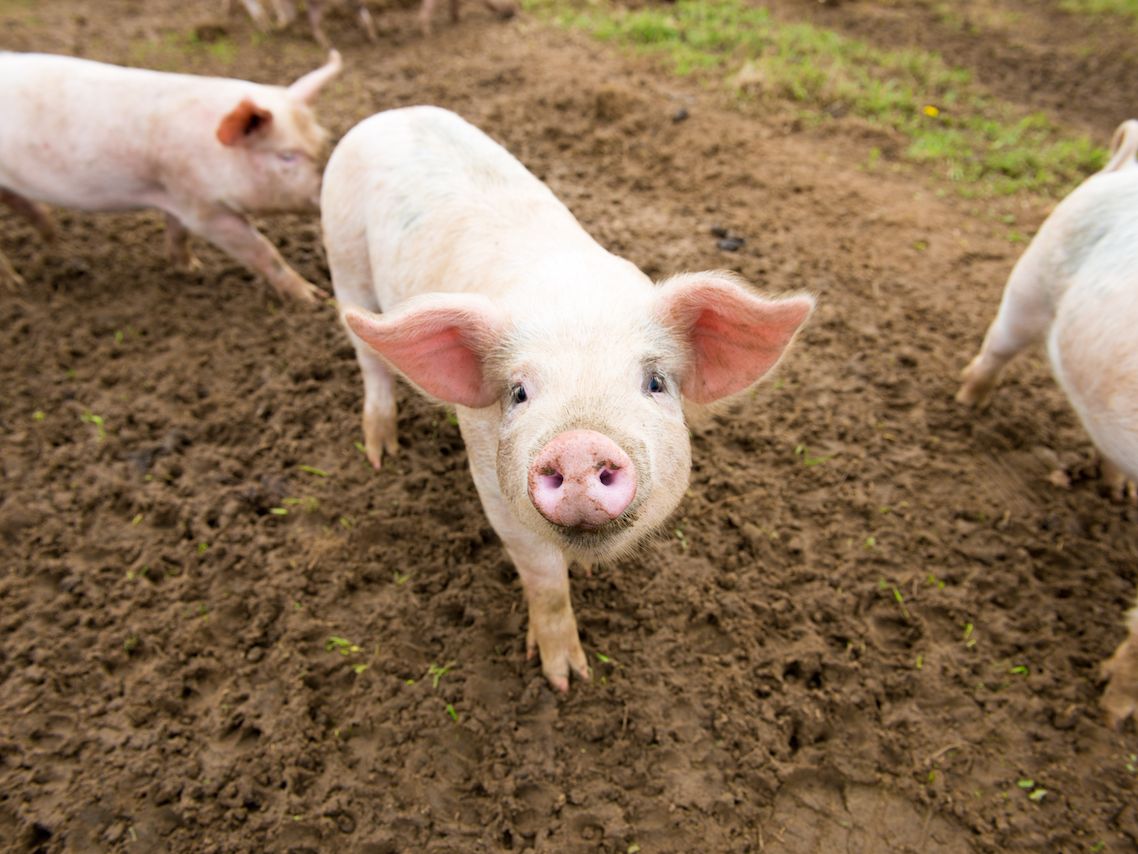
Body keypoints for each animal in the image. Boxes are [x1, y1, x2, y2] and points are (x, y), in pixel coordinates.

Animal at [0, 50, 341, 303]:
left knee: (27, 207)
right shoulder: (203, 209)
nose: (327, 191)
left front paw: (191, 270)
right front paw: (313, 298)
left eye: (322, 140)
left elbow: (178, 233)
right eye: (286, 155)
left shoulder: (175, 194)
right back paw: (15, 285)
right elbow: (263, 250)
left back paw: (54, 245)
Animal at [322, 106, 814, 691]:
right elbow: (544, 578)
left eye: (655, 382)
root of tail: (391, 114)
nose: (578, 446)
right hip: (343, 256)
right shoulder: (493, 483)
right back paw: (382, 453)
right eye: (518, 392)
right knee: (369, 357)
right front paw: (566, 679)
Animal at [956, 118, 1138, 727]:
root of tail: (1126, 164)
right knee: (994, 350)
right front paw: (1111, 715)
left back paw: (1117, 494)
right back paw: (968, 404)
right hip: (1028, 285)